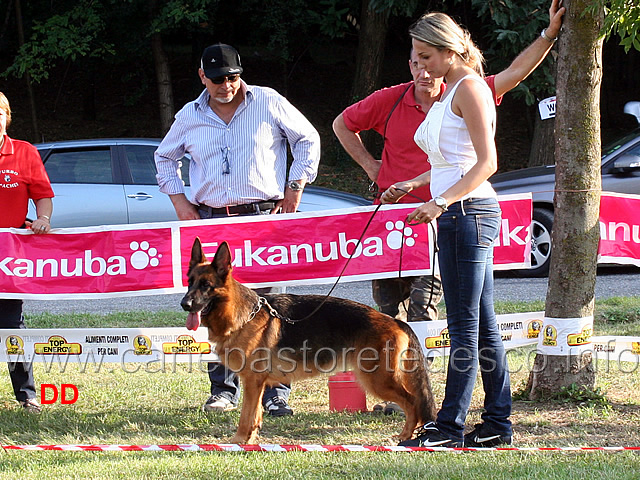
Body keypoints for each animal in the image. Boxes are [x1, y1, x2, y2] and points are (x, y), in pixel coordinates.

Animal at [182, 238, 438, 444]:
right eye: (190, 281)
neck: (243, 314)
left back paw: (405, 436)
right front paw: (250, 441)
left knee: (413, 402)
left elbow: (246, 416)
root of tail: (396, 321)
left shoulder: (253, 381)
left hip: (378, 380)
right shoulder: (256, 383)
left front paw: (238, 441)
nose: (185, 304)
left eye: (206, 286)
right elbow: (254, 416)